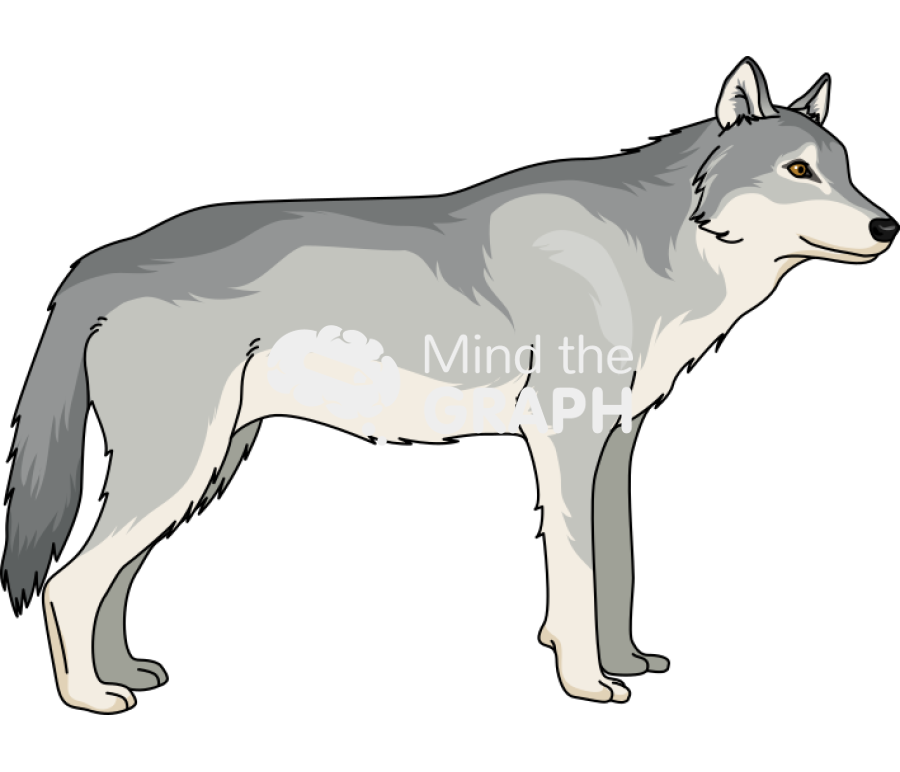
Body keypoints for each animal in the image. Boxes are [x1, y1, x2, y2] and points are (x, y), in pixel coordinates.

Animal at [4, 60, 893, 711]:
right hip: (179, 472)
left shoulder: (613, 447)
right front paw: (587, 682)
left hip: (201, 472)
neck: (658, 249)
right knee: (68, 584)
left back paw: (125, 674)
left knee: (112, 579)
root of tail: (100, 260)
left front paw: (625, 660)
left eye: (846, 172)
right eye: (798, 170)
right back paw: (90, 698)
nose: (888, 225)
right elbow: (578, 570)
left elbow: (618, 563)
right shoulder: (564, 442)